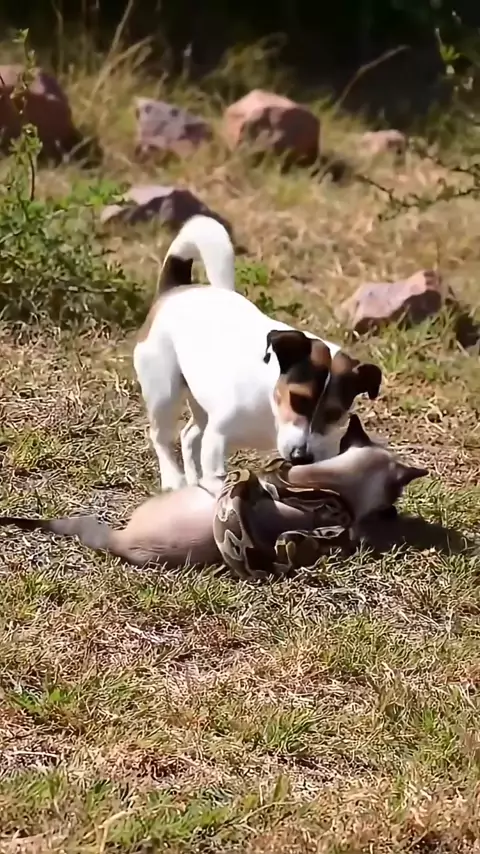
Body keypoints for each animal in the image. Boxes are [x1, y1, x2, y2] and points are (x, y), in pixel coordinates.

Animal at [134, 215, 382, 496]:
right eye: (297, 398)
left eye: (334, 413)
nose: (301, 457)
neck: (271, 406)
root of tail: (175, 290)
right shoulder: (219, 435)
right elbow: (216, 473)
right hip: (164, 392)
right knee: (161, 436)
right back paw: (173, 479)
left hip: (201, 401)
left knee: (188, 436)